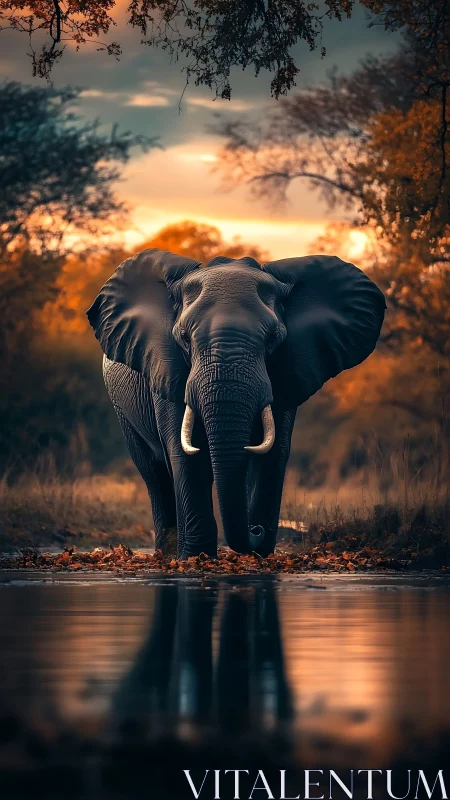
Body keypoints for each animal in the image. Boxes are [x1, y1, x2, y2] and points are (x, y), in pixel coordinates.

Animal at [87, 249, 385, 559]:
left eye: (273, 339)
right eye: (184, 339)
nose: (256, 530)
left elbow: (274, 452)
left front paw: (259, 554)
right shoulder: (167, 369)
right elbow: (183, 453)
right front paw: (196, 557)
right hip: (122, 409)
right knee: (153, 471)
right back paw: (168, 553)